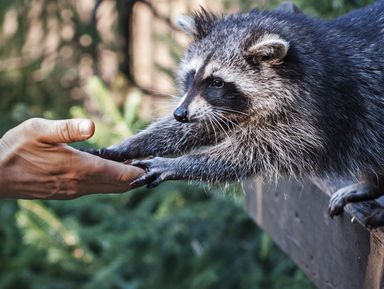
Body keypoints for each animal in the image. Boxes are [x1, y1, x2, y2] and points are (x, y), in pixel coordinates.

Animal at [85, 1, 384, 227]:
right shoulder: (221, 107)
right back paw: (371, 185)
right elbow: (204, 125)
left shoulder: (314, 113)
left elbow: (258, 151)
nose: (180, 113)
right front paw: (130, 144)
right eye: (192, 75)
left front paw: (180, 163)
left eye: (217, 82)